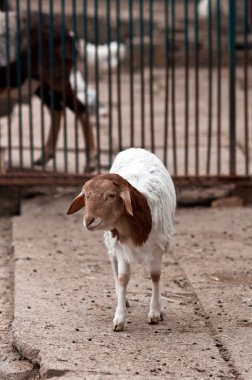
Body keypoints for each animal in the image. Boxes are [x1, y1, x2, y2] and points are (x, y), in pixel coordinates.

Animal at [67, 147, 177, 332]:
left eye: (112, 195)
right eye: (86, 196)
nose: (89, 221)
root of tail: (134, 149)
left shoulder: (158, 249)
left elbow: (155, 276)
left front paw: (155, 312)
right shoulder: (121, 249)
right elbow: (123, 278)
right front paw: (119, 318)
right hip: (111, 246)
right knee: (114, 267)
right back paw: (121, 297)